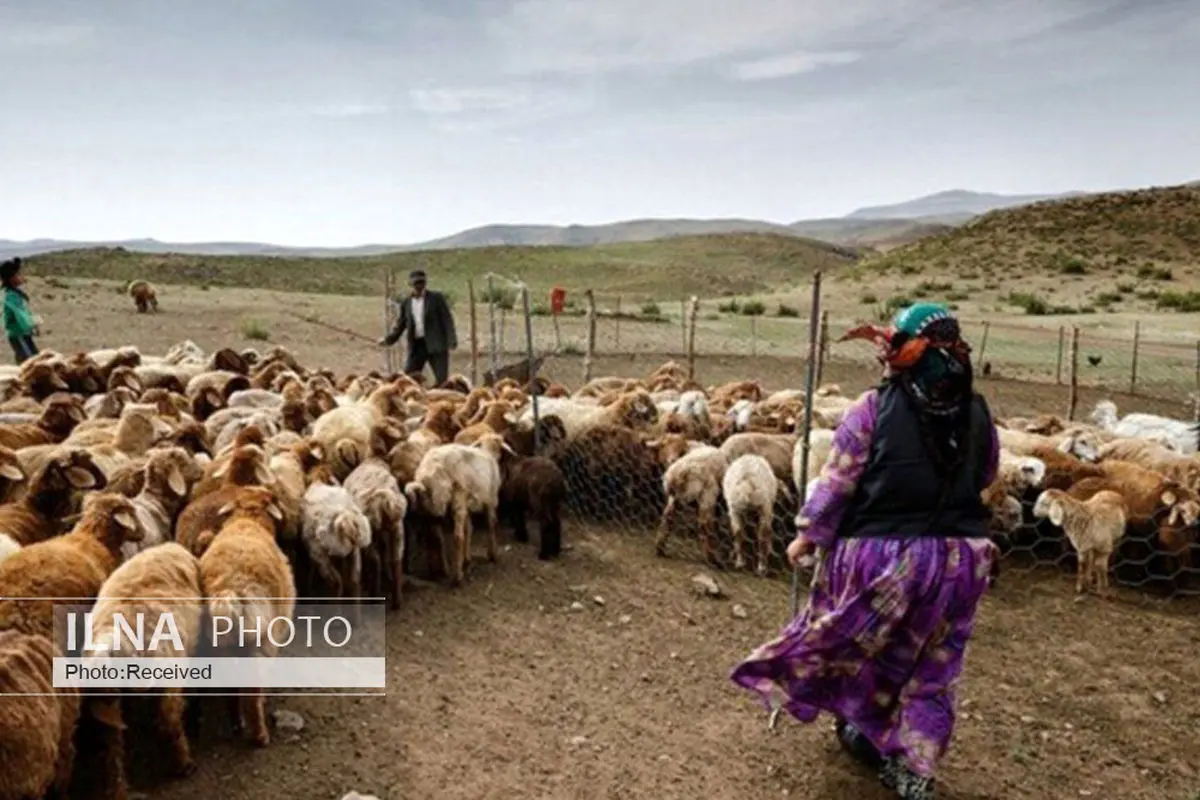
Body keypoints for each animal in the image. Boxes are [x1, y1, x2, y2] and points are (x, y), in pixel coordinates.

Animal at [196, 489, 292, 753]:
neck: (248, 519)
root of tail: (230, 588)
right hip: (260, 637)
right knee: (251, 689)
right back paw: (260, 736)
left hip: (219, 645)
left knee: (229, 686)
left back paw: (236, 722)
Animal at [405, 434, 513, 585]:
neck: (489, 452)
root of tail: (428, 472)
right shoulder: (491, 500)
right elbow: (491, 524)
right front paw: (493, 555)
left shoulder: (468, 506)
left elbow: (469, 528)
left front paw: (467, 558)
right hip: (457, 494)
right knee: (457, 536)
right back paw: (458, 577)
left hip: (430, 504)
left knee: (435, 536)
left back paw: (441, 570)